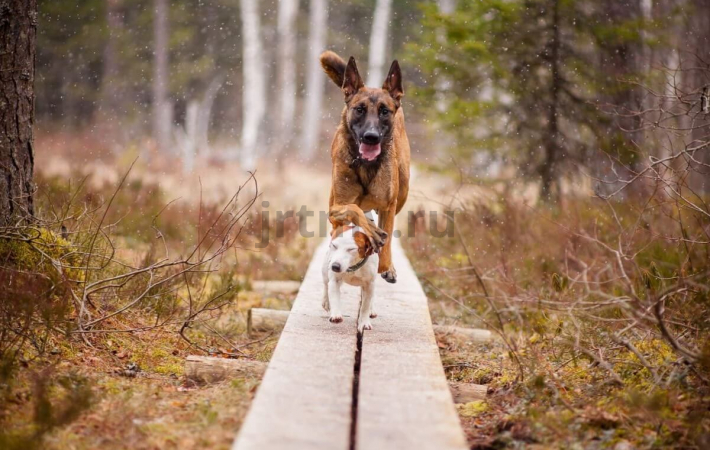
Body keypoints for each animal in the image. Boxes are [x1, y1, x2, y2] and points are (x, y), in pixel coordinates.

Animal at [318, 51, 412, 284]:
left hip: (403, 190)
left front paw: (386, 267)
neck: (366, 165)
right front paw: (371, 231)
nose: (371, 136)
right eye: (359, 110)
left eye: (384, 111)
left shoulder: (388, 207)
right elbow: (353, 209)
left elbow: (387, 239)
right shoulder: (335, 207)